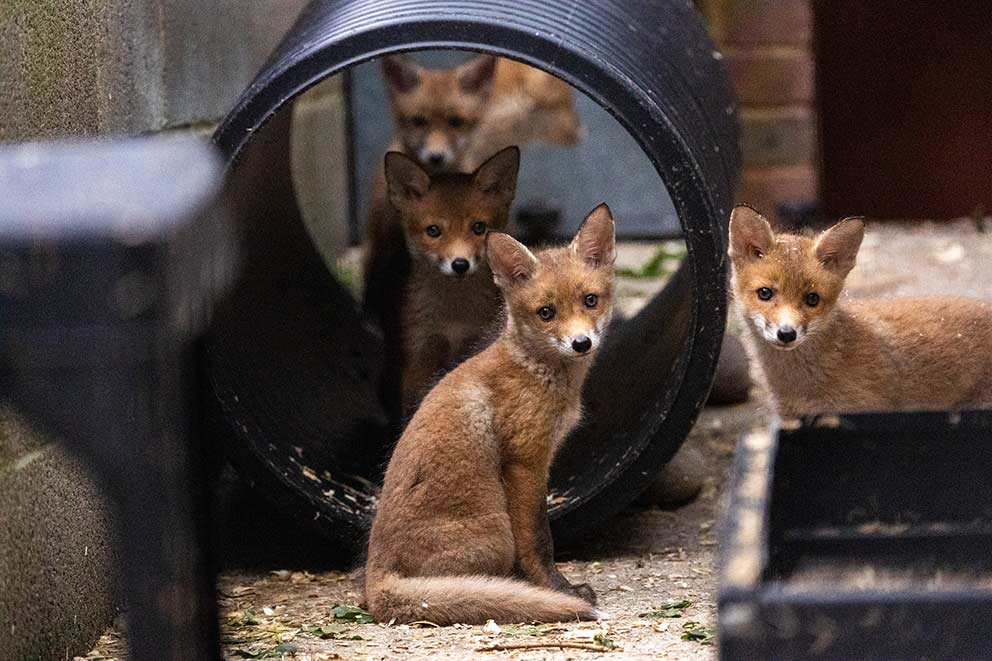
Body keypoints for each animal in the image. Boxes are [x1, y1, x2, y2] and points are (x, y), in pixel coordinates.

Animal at [363, 204, 617, 625]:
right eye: (546, 313)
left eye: (590, 300)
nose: (581, 343)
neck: (536, 370)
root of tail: (372, 580)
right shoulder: (526, 462)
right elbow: (539, 540)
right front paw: (558, 590)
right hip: (496, 531)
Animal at [384, 145, 521, 415]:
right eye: (433, 231)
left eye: (479, 228)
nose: (460, 264)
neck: (453, 318)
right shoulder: (420, 352)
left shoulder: (475, 344)